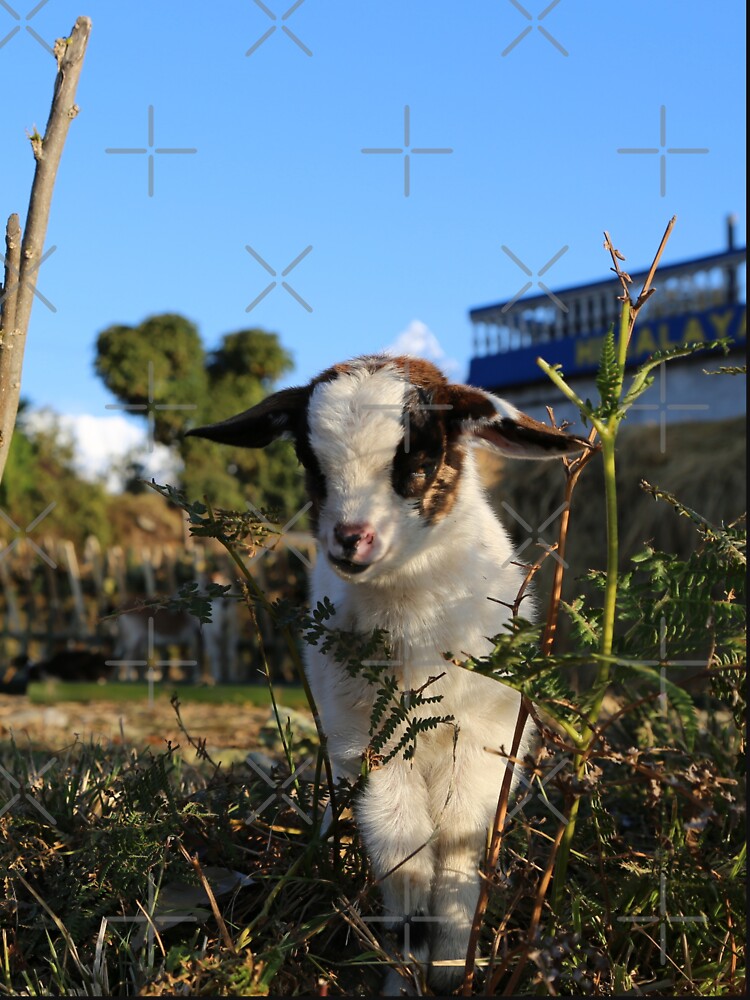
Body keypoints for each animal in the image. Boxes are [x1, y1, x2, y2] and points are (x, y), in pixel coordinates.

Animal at [188, 355, 588, 993]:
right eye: (309, 462)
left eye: (419, 460)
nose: (350, 540)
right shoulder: (370, 744)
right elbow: (404, 856)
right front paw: (406, 972)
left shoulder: (481, 742)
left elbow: (456, 847)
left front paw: (451, 964)